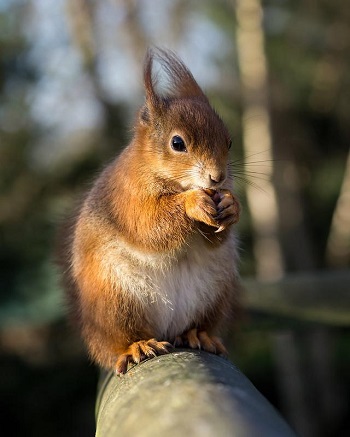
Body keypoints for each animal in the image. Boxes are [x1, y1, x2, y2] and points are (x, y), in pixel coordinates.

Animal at [59, 48, 241, 374]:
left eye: (229, 141)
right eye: (177, 143)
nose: (218, 177)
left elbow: (215, 238)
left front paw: (232, 205)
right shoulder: (125, 198)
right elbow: (148, 224)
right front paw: (192, 204)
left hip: (215, 294)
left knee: (195, 325)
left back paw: (197, 334)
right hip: (114, 300)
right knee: (120, 339)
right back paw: (137, 346)